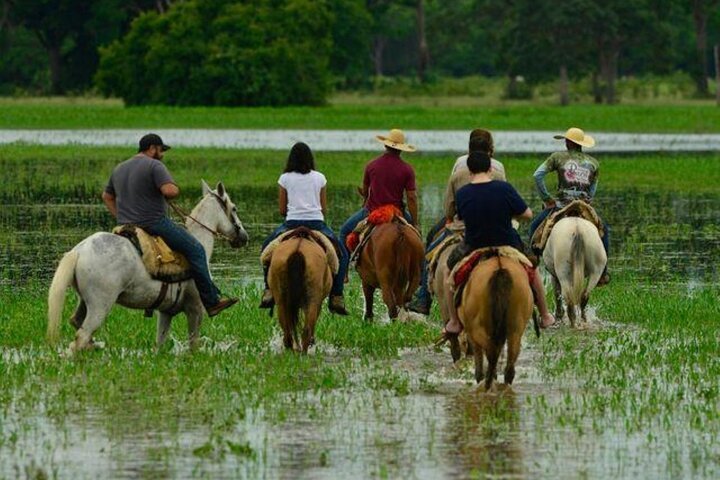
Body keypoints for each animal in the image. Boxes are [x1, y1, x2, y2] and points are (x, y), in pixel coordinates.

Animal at [46, 180, 248, 352]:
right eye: (234, 208)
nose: (244, 237)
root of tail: (79, 251)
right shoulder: (195, 309)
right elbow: (193, 344)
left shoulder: (166, 312)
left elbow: (160, 343)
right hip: (100, 306)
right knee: (81, 336)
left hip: (85, 302)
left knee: (77, 325)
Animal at [456, 253, 536, 392]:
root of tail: (500, 269)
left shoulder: (472, 335)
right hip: (515, 329)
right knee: (509, 365)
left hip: (476, 328)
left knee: (491, 351)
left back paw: (488, 385)